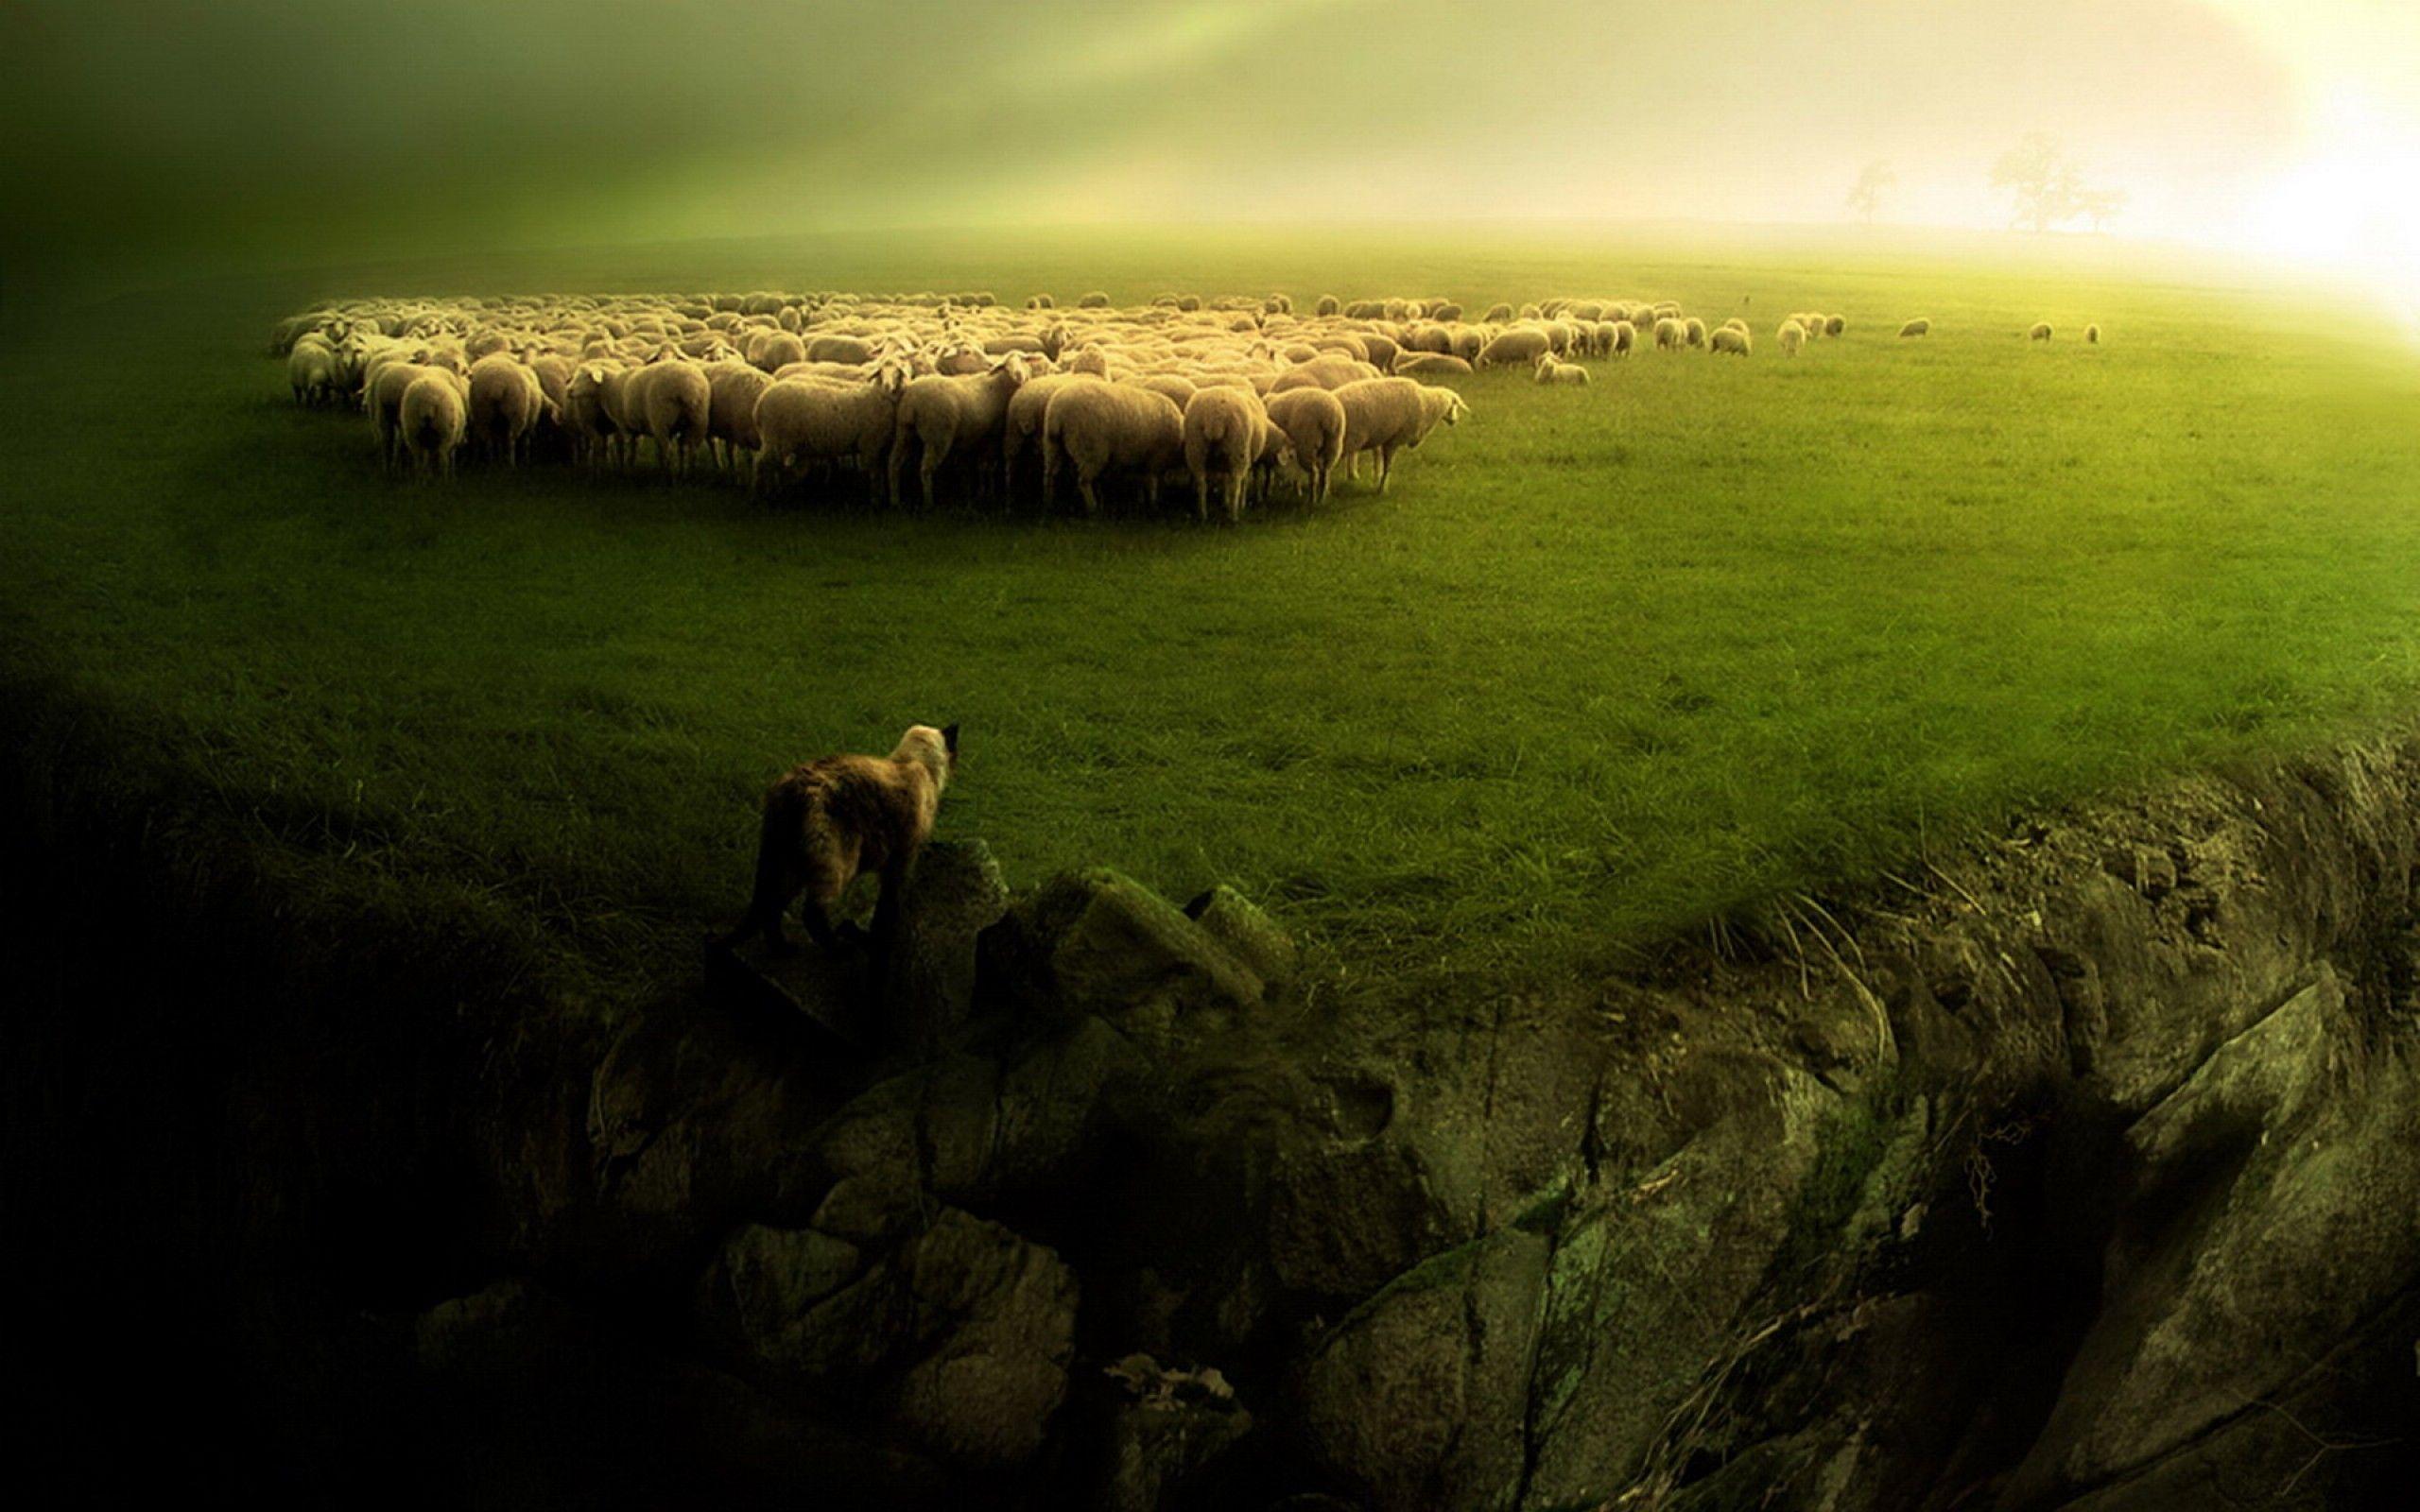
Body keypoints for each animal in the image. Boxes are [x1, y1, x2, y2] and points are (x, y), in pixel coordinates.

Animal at [1040, 381, 1185, 516]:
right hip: (1091, 449)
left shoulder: (1140, 461)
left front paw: (1141, 502)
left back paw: (1049, 503)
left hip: (1053, 445)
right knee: (1083, 481)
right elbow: (1151, 483)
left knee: (1050, 475)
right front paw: (1153, 505)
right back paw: (1093, 508)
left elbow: (1141, 482)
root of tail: (1058, 413)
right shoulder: (1154, 459)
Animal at [1182, 386, 1270, 523]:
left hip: (1196, 447)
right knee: (1235, 484)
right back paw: (1233, 517)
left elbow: (1224, 480)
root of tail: (1215, 416)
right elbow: (1242, 481)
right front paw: (1241, 503)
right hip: (1238, 449)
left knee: (1201, 483)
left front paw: (1225, 501)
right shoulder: (1246, 458)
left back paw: (1203, 515)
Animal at [1333, 378, 1468, 494]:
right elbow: (1388, 468)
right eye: (1454, 404)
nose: (1454, 421)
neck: (1427, 404)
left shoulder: (1387, 439)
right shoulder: (1394, 439)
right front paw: (1381, 490)